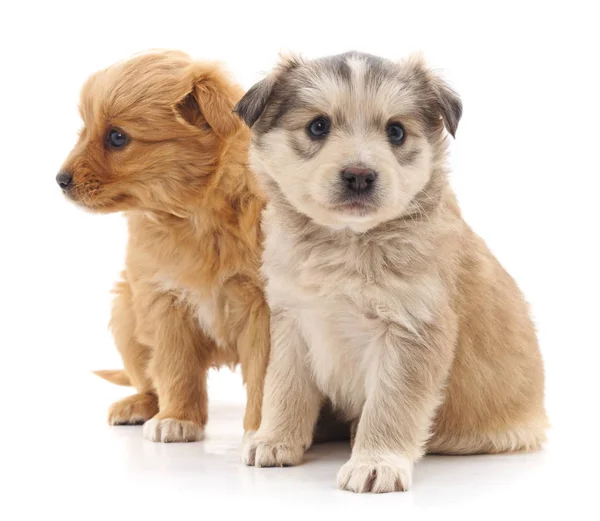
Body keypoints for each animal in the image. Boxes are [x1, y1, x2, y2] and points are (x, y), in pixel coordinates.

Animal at [58, 51, 270, 442]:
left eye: (117, 137)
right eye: (83, 130)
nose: (60, 180)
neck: (196, 216)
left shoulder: (265, 309)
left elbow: (265, 374)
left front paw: (264, 430)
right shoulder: (165, 301)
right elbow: (175, 367)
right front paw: (178, 417)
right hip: (125, 312)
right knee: (148, 380)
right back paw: (138, 406)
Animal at [236, 51, 548, 492]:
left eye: (396, 132)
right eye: (318, 126)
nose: (359, 176)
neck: (346, 242)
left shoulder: (410, 331)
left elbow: (390, 405)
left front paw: (375, 462)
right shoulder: (292, 322)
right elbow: (284, 389)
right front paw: (274, 440)